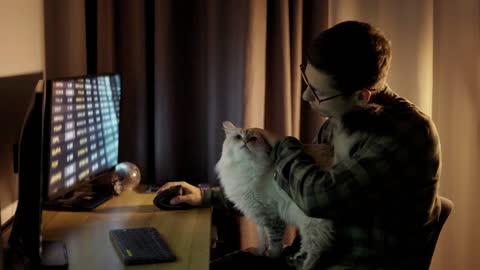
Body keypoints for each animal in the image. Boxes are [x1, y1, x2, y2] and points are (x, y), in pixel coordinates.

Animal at [216, 121, 336, 270]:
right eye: (238, 137)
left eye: (253, 138)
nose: (245, 141)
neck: (247, 168)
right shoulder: (258, 213)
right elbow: (261, 237)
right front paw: (259, 252)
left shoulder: (271, 213)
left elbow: (274, 240)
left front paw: (272, 256)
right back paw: (296, 258)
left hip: (312, 223)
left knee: (315, 251)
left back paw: (304, 265)